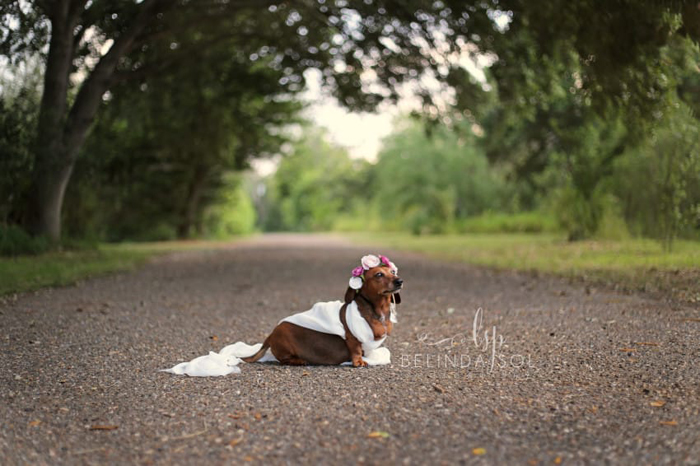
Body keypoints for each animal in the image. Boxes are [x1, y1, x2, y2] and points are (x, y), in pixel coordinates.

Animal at [242, 258, 402, 368]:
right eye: (379, 274)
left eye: (393, 272)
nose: (399, 281)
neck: (377, 309)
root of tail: (271, 335)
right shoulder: (353, 337)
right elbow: (356, 350)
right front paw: (358, 362)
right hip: (286, 346)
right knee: (284, 360)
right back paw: (299, 360)